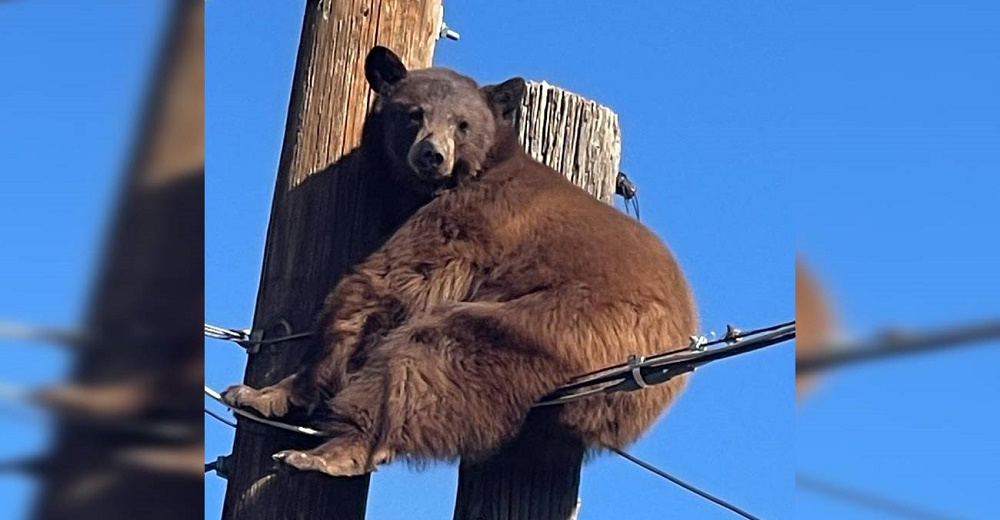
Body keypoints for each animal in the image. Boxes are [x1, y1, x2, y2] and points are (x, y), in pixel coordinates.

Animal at [223, 46, 700, 478]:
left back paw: (334, 451)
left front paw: (263, 393)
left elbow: (388, 284)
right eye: (414, 114)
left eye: (462, 124)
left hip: (574, 324)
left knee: (435, 355)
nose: (432, 154)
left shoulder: (469, 221)